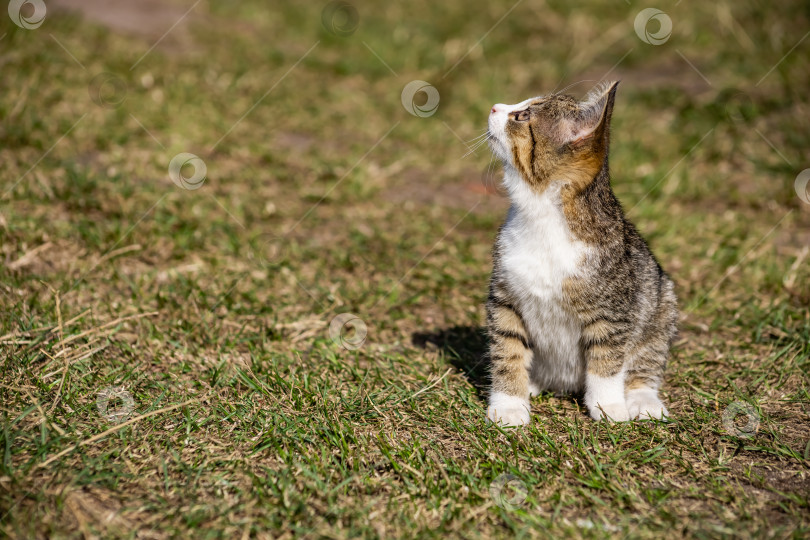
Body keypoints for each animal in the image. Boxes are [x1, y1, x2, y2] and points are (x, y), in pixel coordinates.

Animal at [480, 81, 676, 426]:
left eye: (523, 115)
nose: (494, 106)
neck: (542, 215)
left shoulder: (612, 312)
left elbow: (606, 361)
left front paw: (608, 405)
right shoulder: (505, 300)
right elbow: (507, 351)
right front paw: (508, 404)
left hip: (661, 301)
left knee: (646, 361)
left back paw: (642, 398)